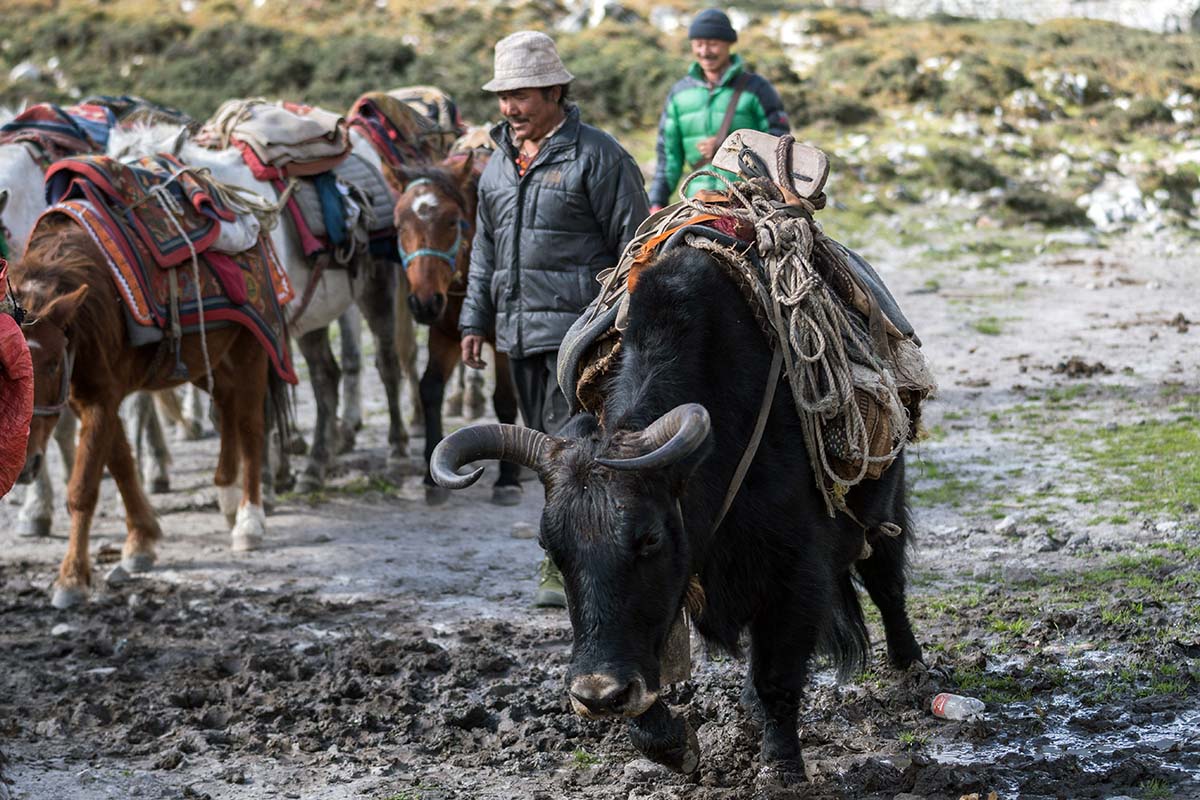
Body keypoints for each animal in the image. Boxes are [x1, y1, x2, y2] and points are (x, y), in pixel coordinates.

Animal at [15, 215, 282, 609]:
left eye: (50, 364)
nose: (23, 465)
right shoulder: (87, 398)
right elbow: (122, 464)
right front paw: (141, 539)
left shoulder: (101, 397)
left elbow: (83, 489)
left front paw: (72, 577)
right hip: (208, 362)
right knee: (227, 406)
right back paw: (228, 493)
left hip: (251, 350)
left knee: (250, 424)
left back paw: (249, 519)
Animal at [391, 154, 523, 506]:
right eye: (400, 225)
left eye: (452, 221)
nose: (423, 303)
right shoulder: (445, 336)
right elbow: (430, 388)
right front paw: (431, 478)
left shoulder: (505, 344)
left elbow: (505, 398)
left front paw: (508, 479)